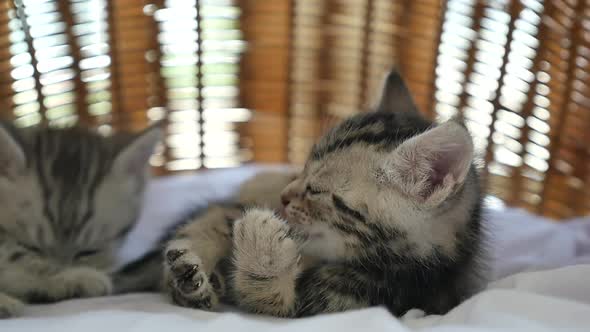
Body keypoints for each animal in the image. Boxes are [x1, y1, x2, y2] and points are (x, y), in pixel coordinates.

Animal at [163, 71, 486, 318]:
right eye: (301, 170)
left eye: (316, 190)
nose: (284, 197)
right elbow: (219, 215)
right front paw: (190, 259)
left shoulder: (337, 302)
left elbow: (269, 302)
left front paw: (261, 246)